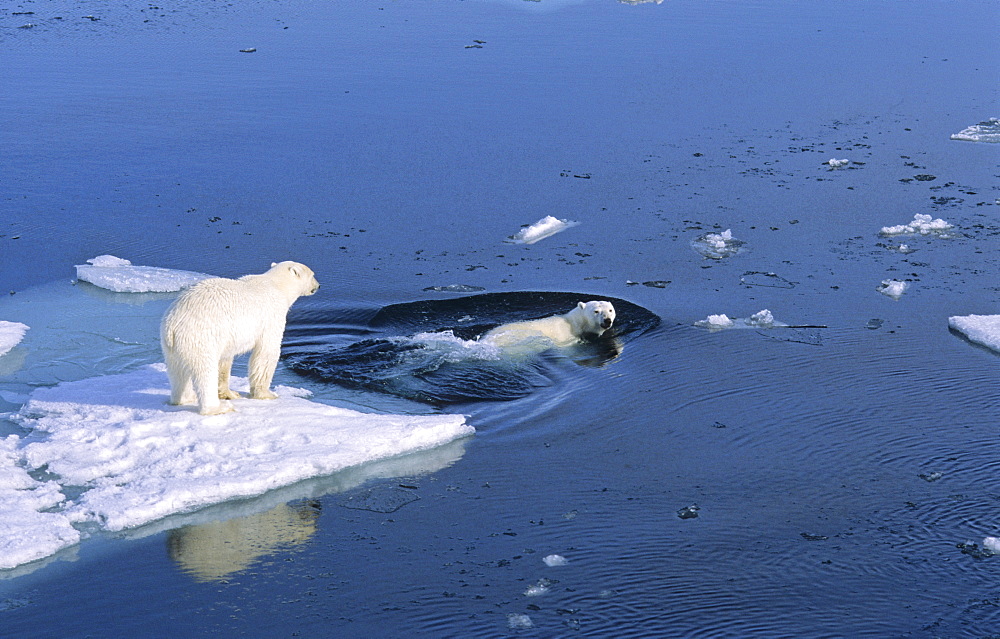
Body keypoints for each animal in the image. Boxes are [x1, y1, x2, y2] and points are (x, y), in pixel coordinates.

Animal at [161, 262, 320, 418]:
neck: (277, 285)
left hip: (172, 346)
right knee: (205, 371)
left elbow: (225, 360)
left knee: (178, 373)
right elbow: (266, 354)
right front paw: (267, 394)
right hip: (201, 337)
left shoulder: (226, 337)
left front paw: (230, 393)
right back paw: (218, 408)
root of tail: (173, 324)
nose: (318, 286)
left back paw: (185, 399)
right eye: (313, 274)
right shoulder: (272, 317)